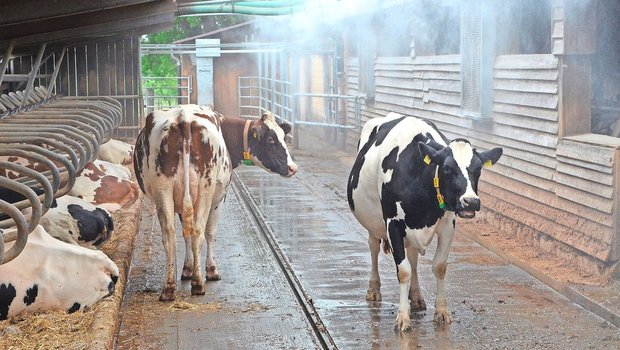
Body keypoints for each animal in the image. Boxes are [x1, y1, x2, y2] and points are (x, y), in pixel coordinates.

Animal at [346, 112, 502, 330]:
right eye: (447, 168)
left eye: (478, 169)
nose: (471, 201)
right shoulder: (393, 224)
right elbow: (403, 271)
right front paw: (403, 317)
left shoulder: (448, 225)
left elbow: (439, 266)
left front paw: (442, 312)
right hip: (373, 223)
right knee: (374, 248)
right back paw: (374, 289)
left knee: (412, 257)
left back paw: (417, 296)